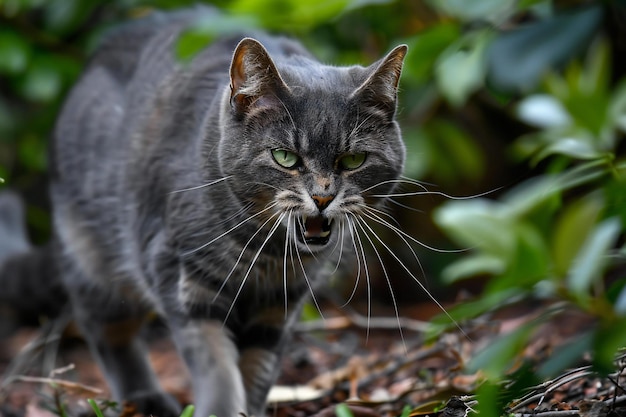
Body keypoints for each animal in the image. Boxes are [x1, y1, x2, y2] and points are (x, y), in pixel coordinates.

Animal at [0, 7, 404, 416]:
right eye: (285, 157)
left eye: (352, 160)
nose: (323, 197)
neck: (265, 253)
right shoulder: (183, 277)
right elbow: (217, 365)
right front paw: (221, 407)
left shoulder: (279, 305)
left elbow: (257, 369)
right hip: (94, 262)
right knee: (107, 333)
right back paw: (145, 399)